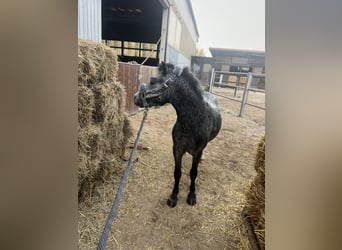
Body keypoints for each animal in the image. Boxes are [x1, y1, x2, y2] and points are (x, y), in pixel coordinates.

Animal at [134, 62, 222, 207]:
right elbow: (177, 172)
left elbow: (193, 173)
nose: (135, 97)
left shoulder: (197, 152)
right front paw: (173, 197)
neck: (193, 121)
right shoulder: (177, 149)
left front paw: (191, 196)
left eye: (152, 81)